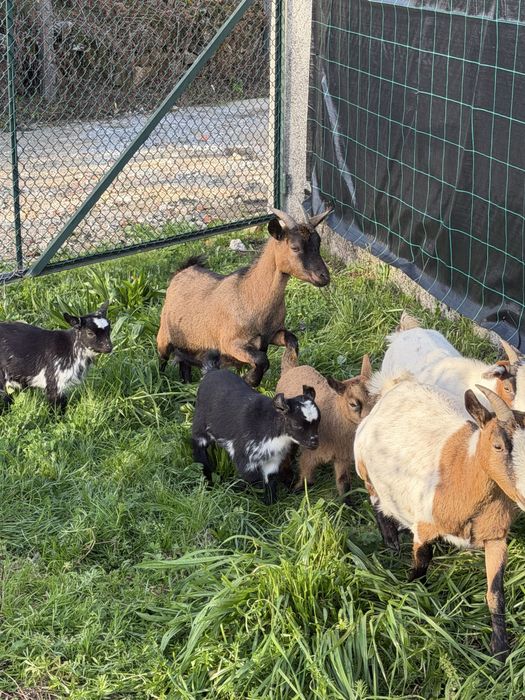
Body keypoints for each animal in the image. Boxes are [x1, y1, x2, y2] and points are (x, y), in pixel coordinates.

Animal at [157, 207, 331, 387]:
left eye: (318, 244)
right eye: (295, 247)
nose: (324, 276)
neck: (249, 295)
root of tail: (182, 270)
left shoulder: (272, 334)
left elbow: (292, 340)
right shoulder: (231, 343)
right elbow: (262, 359)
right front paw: (250, 379)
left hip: (188, 344)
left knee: (184, 363)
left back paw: (186, 383)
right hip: (163, 335)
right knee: (162, 360)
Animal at [192, 353, 320, 504]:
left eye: (318, 422)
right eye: (296, 424)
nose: (314, 443)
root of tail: (211, 371)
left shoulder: (273, 460)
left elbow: (270, 481)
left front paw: (270, 503)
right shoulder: (244, 456)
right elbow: (253, 478)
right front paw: (238, 489)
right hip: (200, 425)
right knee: (198, 446)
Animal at [276, 346, 373, 504]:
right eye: (353, 404)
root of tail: (292, 368)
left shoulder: (342, 458)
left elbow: (344, 483)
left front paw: (348, 505)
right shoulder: (309, 456)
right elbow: (307, 480)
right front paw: (294, 492)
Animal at [354, 374, 525, 660]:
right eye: (498, 445)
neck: (462, 469)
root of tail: (394, 385)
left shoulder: (496, 536)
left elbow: (495, 593)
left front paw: (500, 650)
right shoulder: (423, 528)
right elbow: (421, 565)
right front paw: (408, 596)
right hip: (365, 471)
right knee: (377, 502)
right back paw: (391, 543)